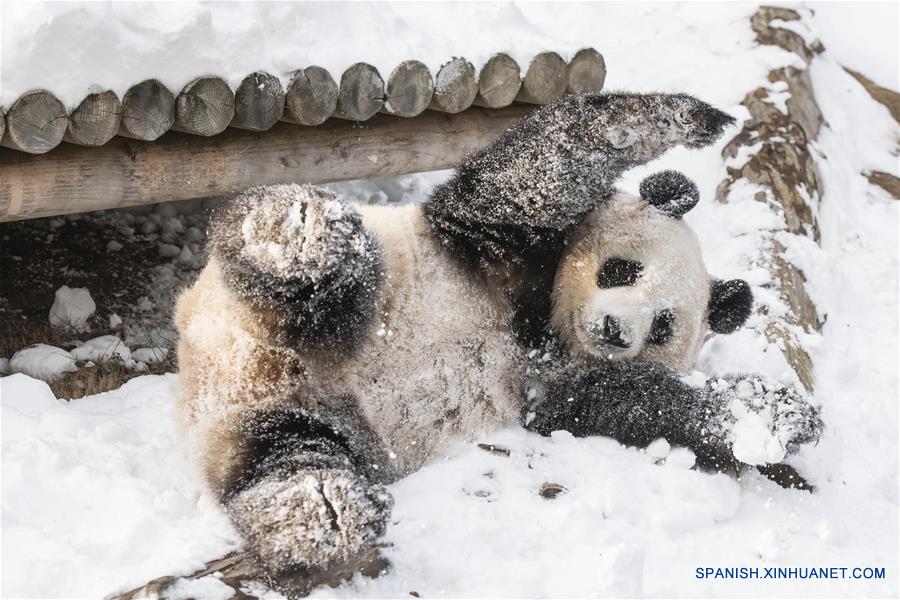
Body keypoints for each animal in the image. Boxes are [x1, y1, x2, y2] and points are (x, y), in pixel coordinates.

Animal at [174, 92, 824, 596]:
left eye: (662, 325)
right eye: (621, 270)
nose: (615, 331)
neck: (540, 328)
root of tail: (231, 363)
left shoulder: (557, 391)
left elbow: (636, 402)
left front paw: (775, 418)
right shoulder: (491, 245)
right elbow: (537, 171)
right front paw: (692, 117)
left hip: (302, 422)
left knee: (282, 456)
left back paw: (325, 512)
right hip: (319, 287)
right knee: (312, 258)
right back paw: (300, 236)